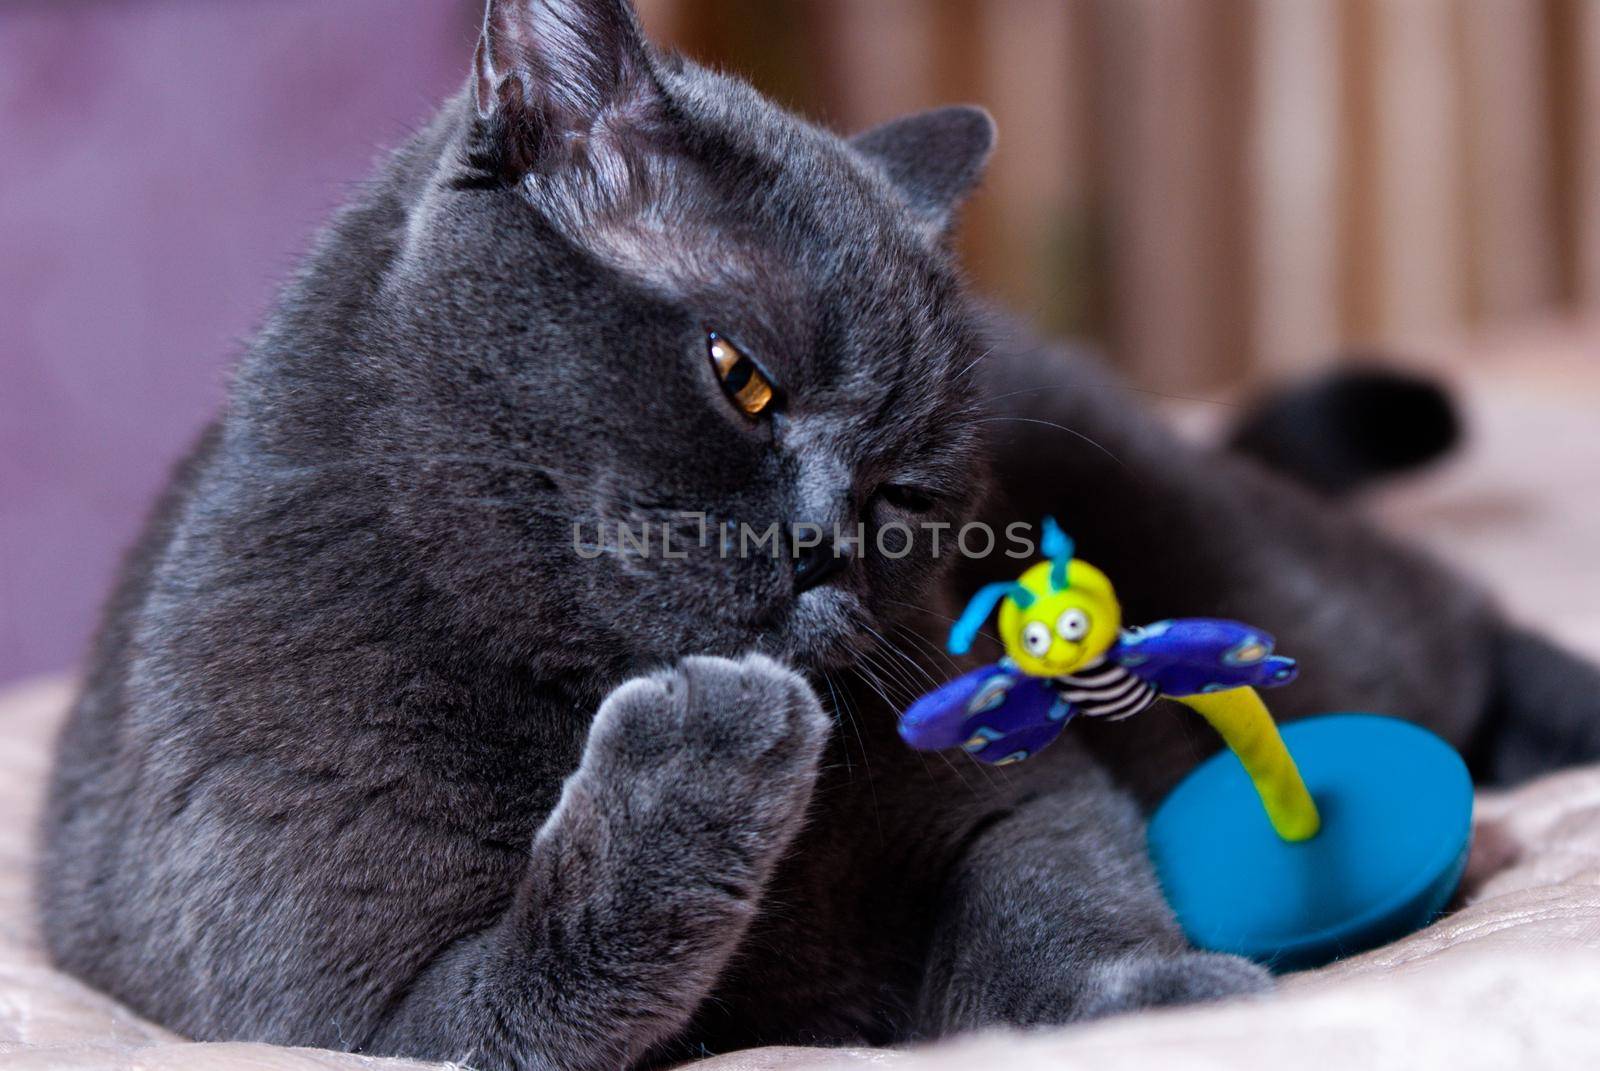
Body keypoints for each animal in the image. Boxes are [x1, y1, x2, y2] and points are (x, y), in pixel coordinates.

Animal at [37, 2, 1600, 1069]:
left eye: (904, 490)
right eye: (742, 376)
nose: (822, 546)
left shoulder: (1008, 790)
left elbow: (1055, 893)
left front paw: (1151, 1001)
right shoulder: (337, 1016)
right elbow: (529, 998)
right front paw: (704, 749)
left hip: (1275, 598)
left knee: (1441, 619)